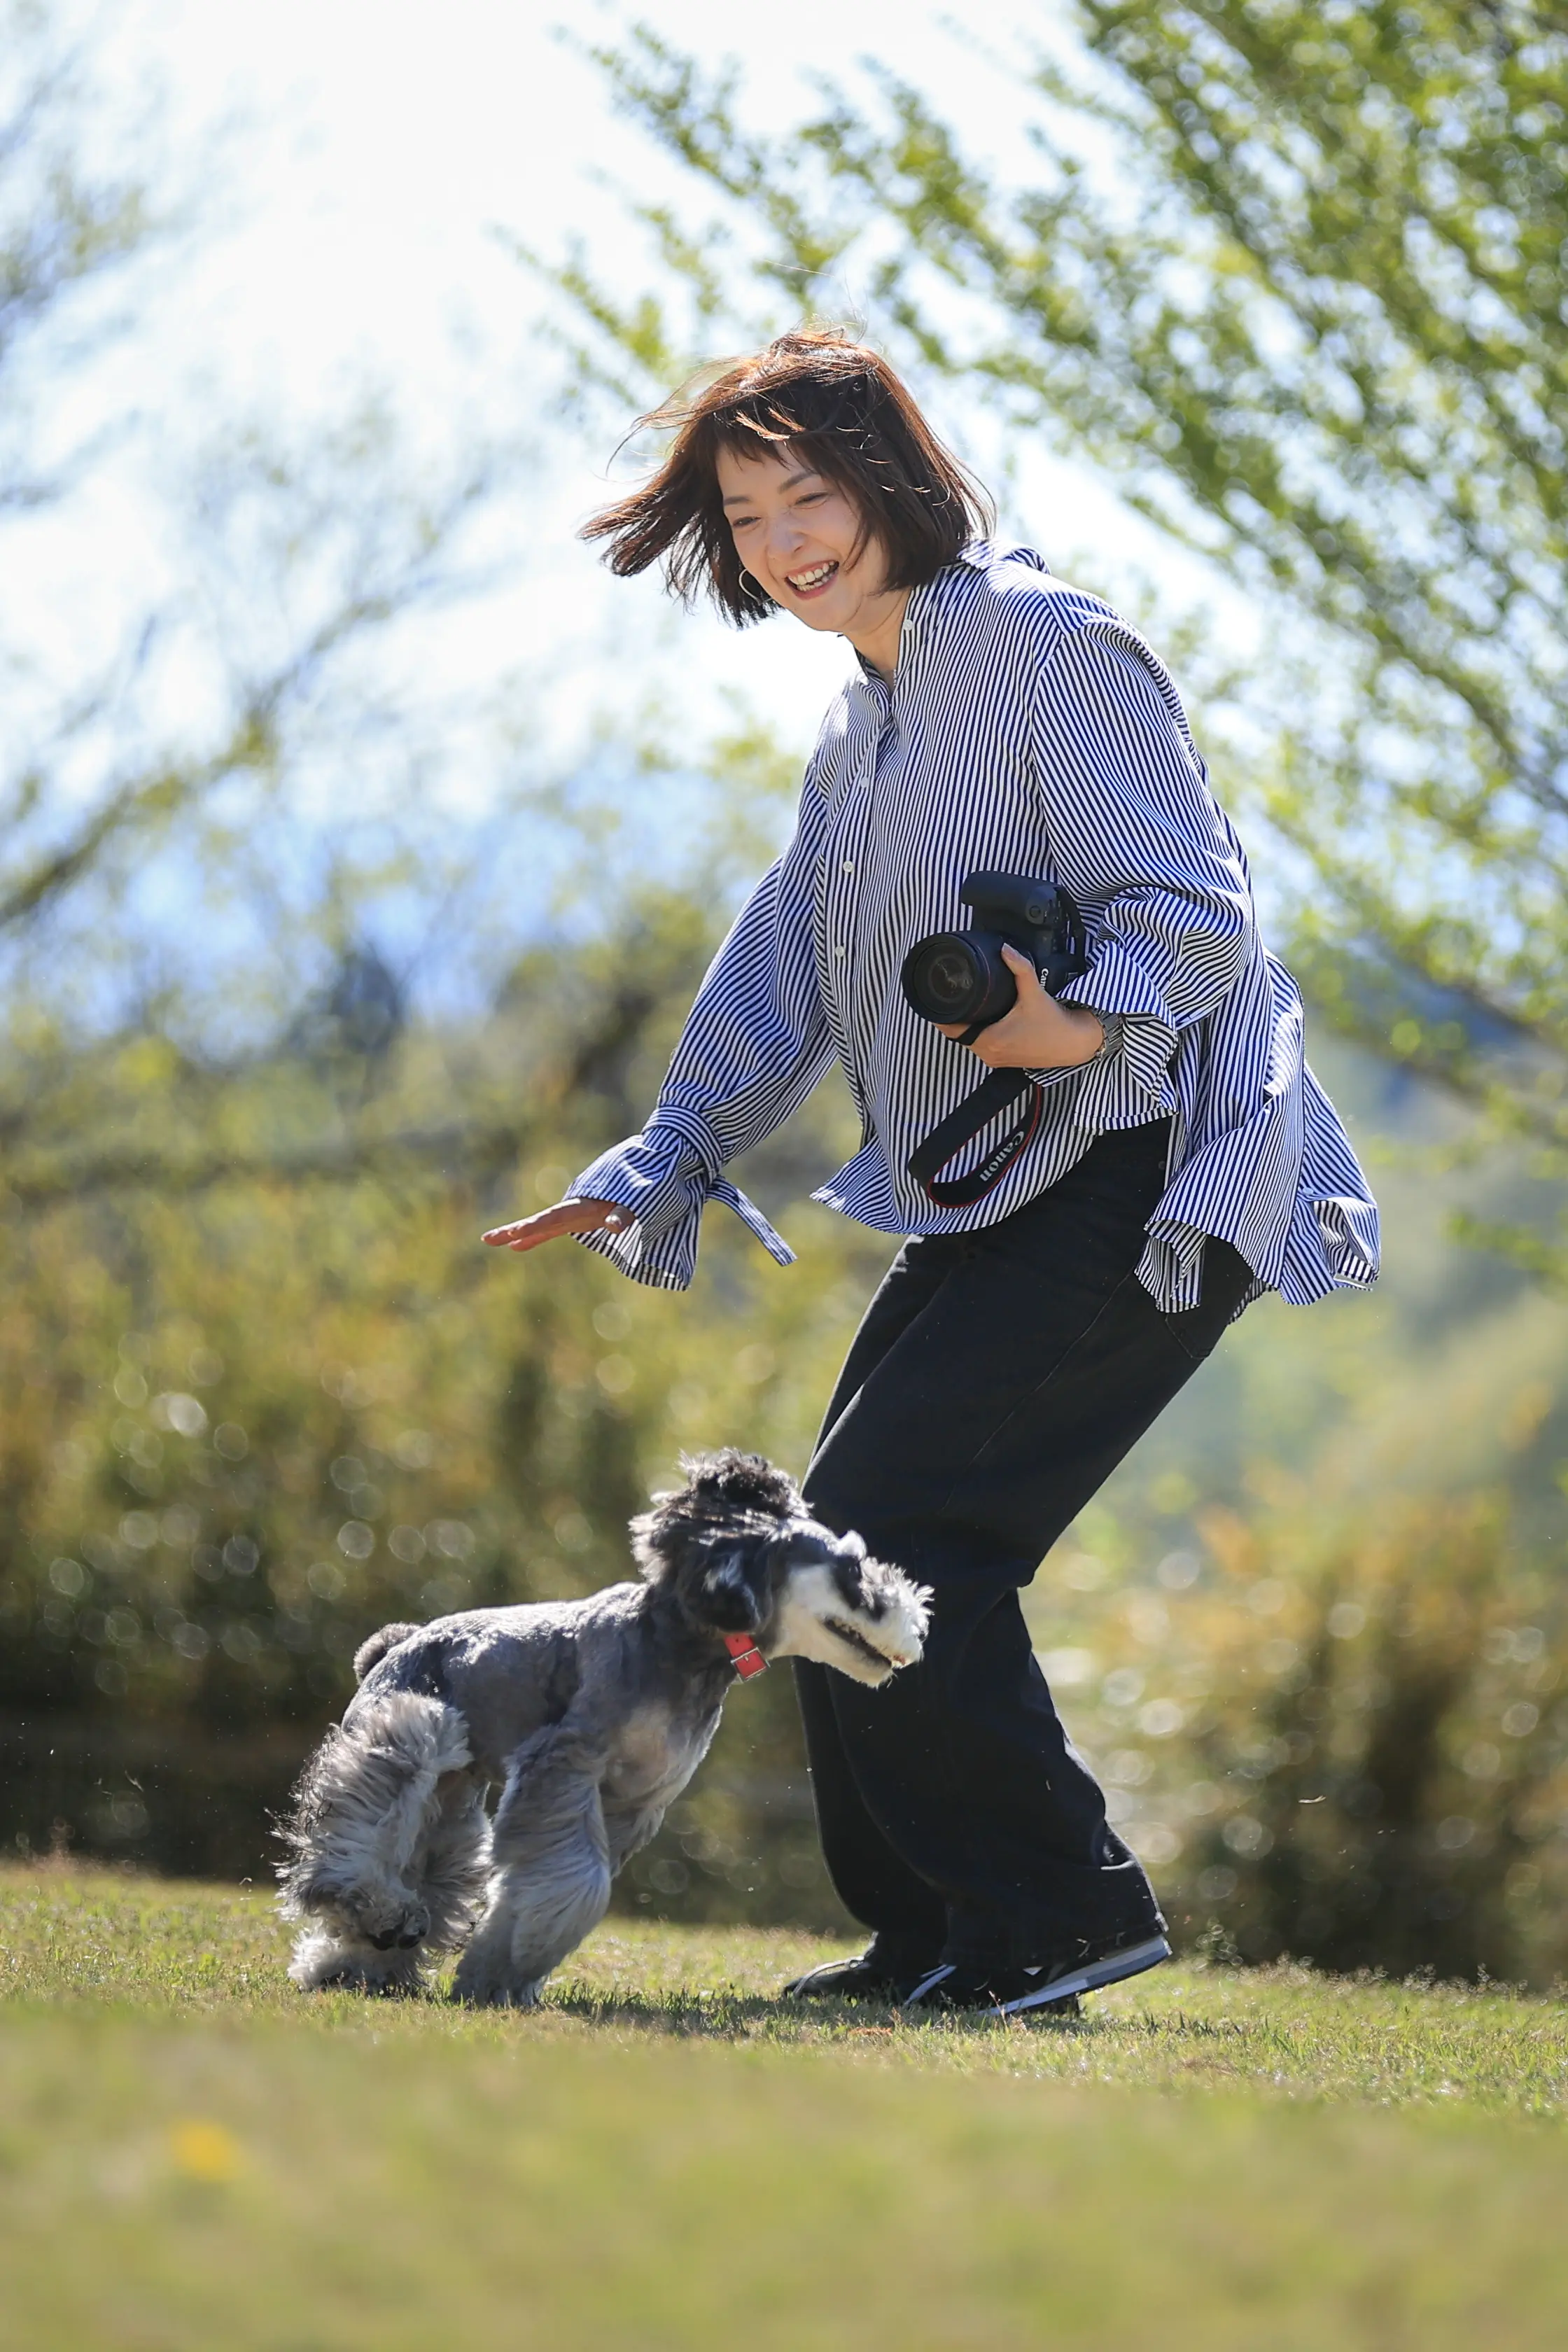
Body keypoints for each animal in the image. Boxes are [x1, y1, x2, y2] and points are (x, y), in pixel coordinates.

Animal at [276, 1448, 926, 2003]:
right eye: (852, 1568)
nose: (918, 1622)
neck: (681, 1645)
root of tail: (394, 1645)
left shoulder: (630, 1804)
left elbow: (556, 1885)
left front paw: (505, 1969)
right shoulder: (566, 1765)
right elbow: (577, 1884)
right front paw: (506, 1972)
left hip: (452, 1802)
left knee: (425, 1866)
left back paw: (362, 1963)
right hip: (415, 1733)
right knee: (360, 1836)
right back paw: (382, 1913)